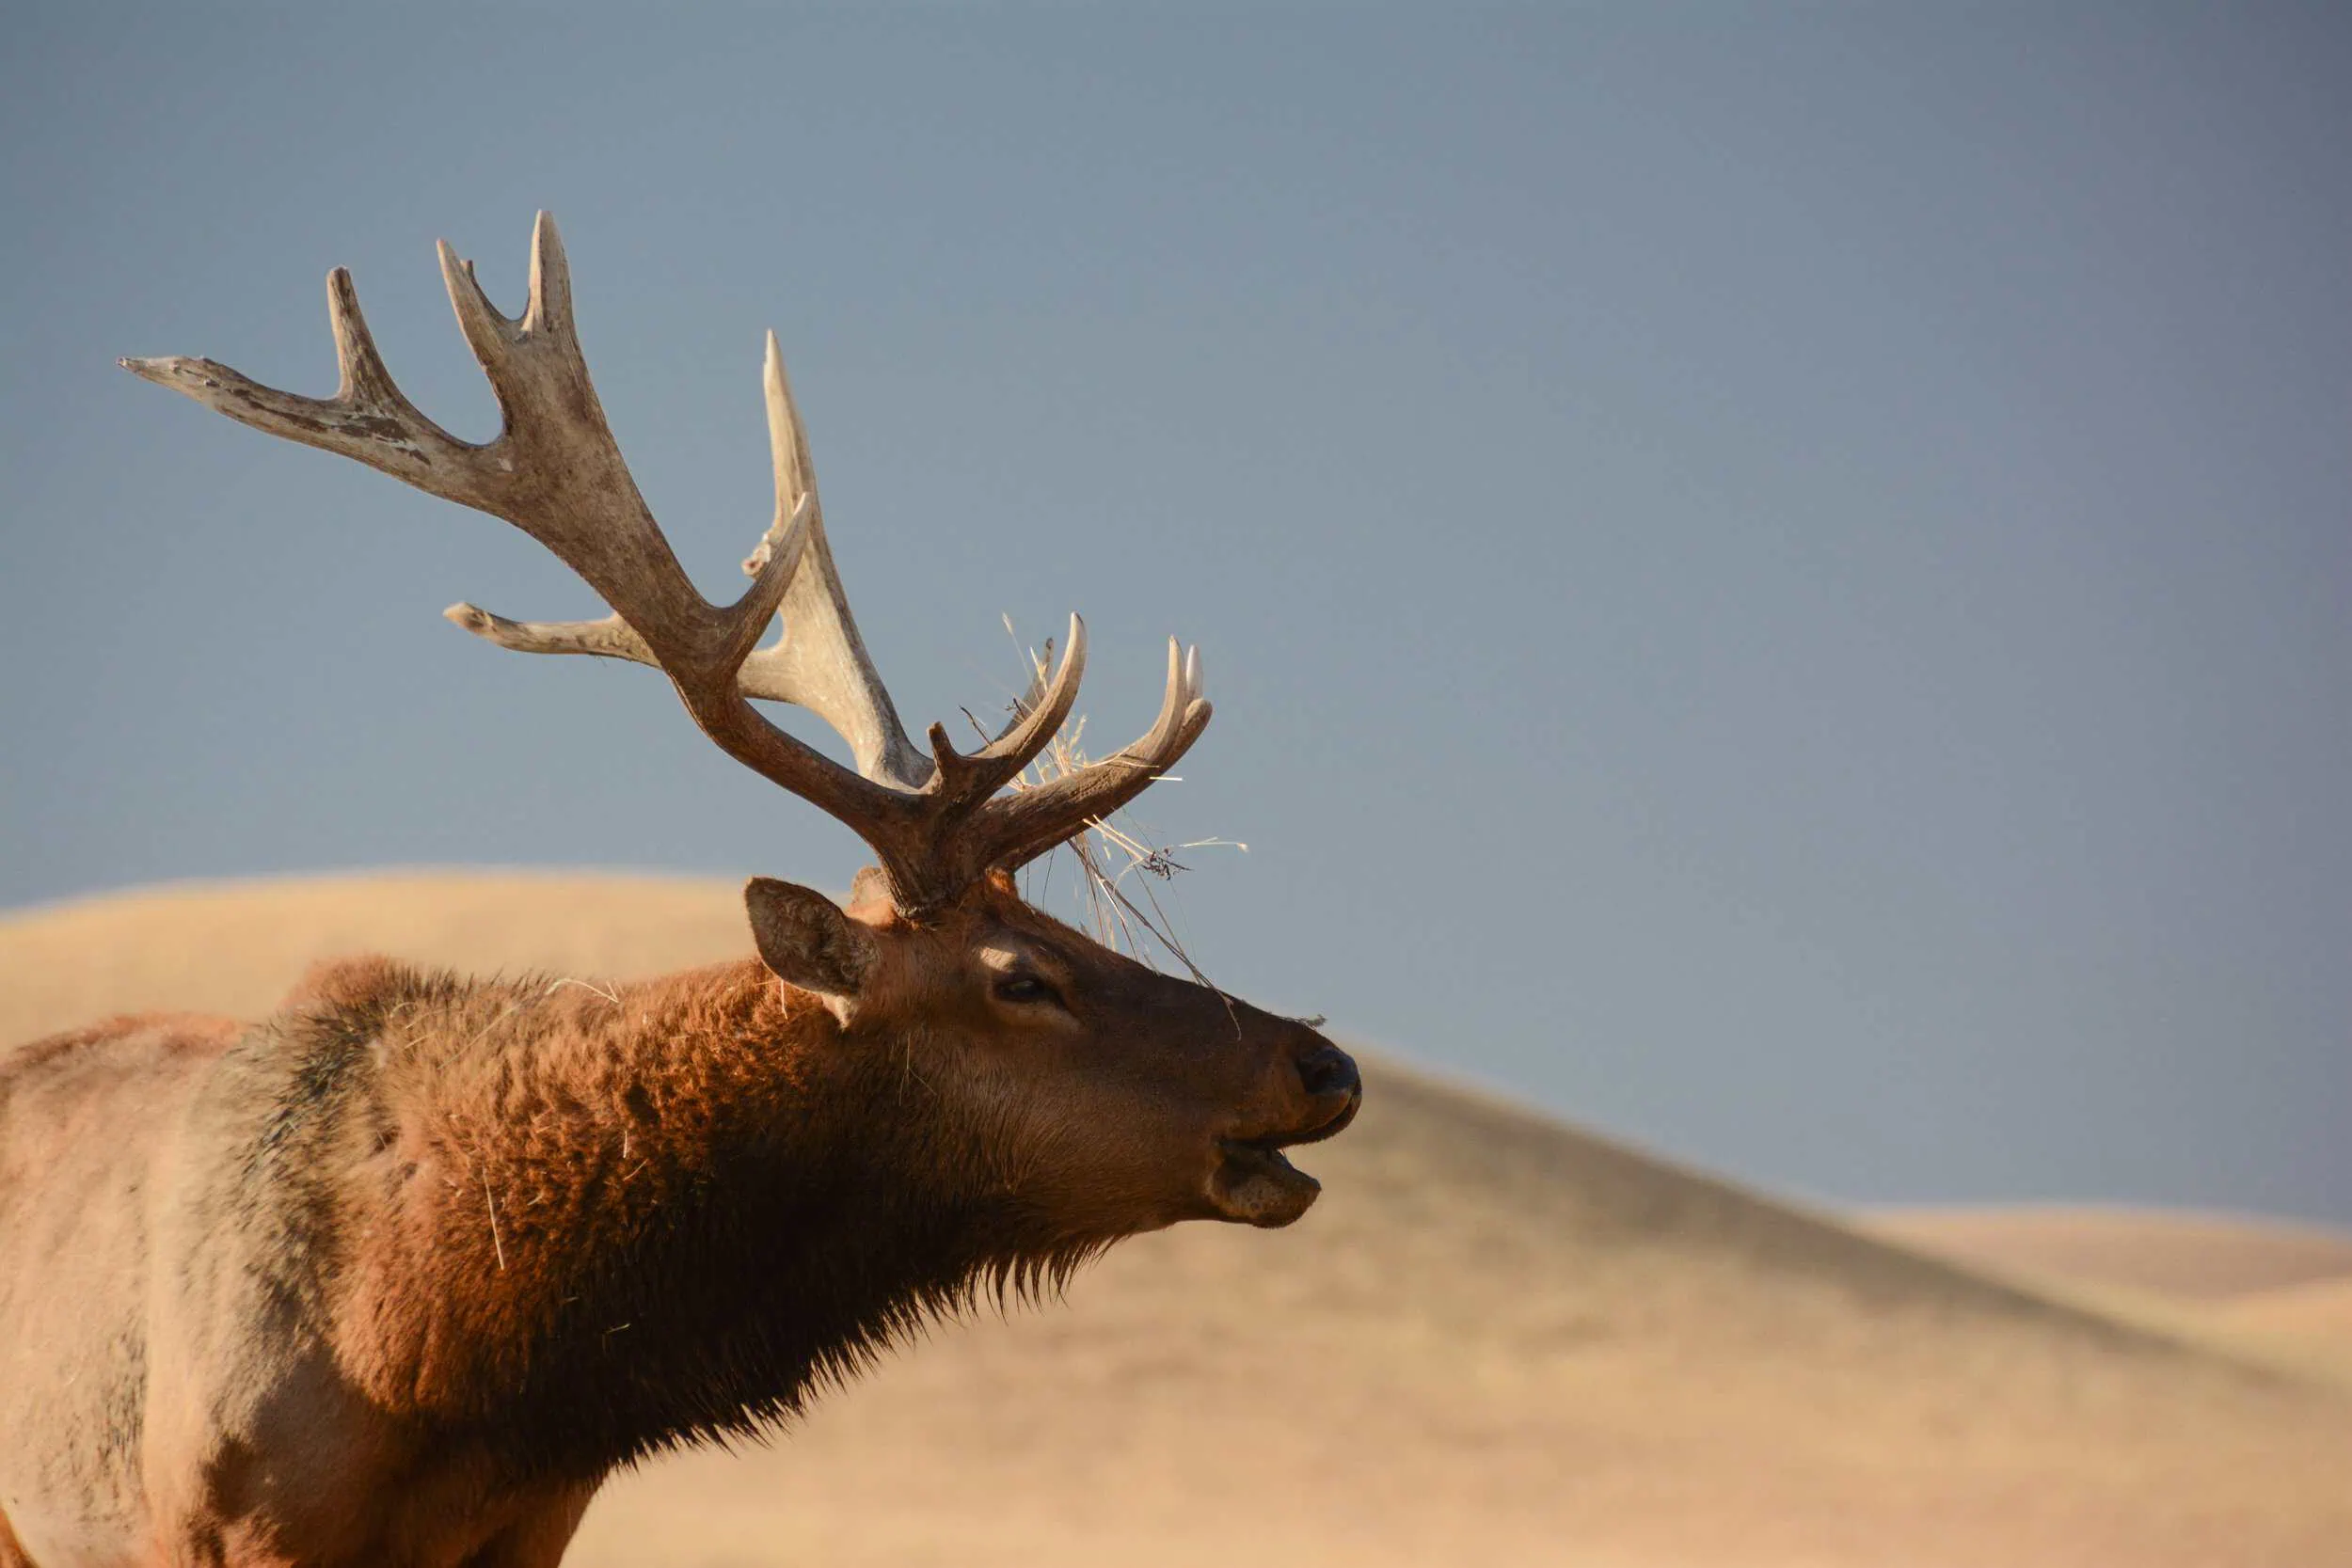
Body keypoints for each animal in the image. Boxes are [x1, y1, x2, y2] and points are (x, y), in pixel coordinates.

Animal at [0, 214, 1360, 1568]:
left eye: (1058, 925)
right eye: (1023, 975)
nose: (1323, 1063)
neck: (435, 1352)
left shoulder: (533, 1521)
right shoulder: (219, 1515)